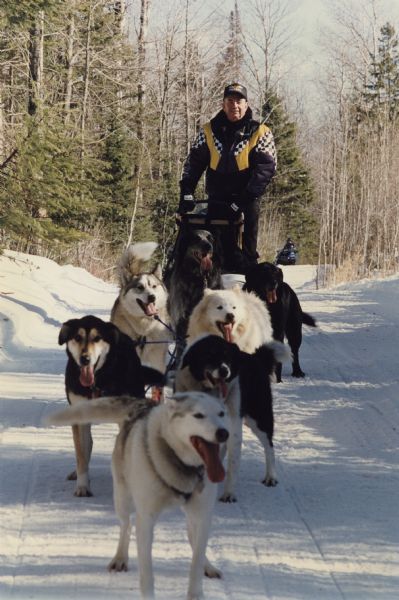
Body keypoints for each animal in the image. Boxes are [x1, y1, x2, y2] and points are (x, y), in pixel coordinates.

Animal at [46, 392, 228, 600]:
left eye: (222, 413)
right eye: (198, 415)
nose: (223, 433)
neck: (180, 465)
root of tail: (139, 405)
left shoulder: (203, 515)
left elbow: (196, 560)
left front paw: (196, 592)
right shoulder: (146, 520)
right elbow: (146, 570)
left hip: (193, 514)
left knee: (192, 537)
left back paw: (209, 566)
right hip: (123, 499)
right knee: (126, 526)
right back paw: (120, 558)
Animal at [58, 314, 164, 496]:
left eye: (97, 338)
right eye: (77, 337)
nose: (85, 359)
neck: (98, 381)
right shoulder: (79, 416)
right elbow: (81, 454)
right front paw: (83, 485)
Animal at [175, 332, 290, 502]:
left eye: (227, 356)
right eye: (210, 355)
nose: (224, 371)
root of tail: (255, 358)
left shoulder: (234, 432)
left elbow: (232, 466)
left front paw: (228, 494)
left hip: (259, 418)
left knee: (269, 446)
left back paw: (271, 477)